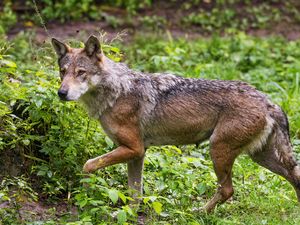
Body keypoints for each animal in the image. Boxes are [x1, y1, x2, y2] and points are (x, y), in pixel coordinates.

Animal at [51, 36, 300, 212]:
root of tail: (269, 102)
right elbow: (135, 193)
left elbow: (88, 164)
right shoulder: (138, 154)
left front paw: (85, 192)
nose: (61, 93)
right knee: (295, 177)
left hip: (218, 151)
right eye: (63, 72)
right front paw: (128, 214)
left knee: (228, 190)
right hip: (260, 157)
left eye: (81, 73)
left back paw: (199, 212)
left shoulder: (133, 148)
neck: (115, 92)